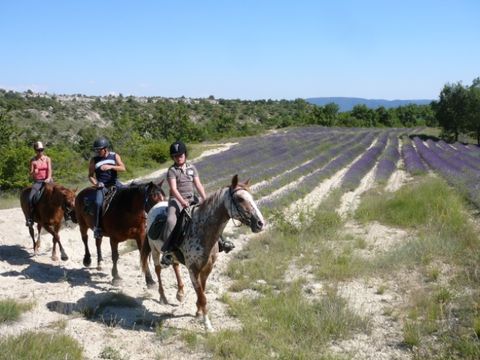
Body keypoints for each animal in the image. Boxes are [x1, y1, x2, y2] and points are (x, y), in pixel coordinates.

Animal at [141, 174, 264, 332]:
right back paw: (163, 297)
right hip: (155, 251)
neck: (202, 230)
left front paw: (198, 311)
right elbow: (203, 296)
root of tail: (154, 207)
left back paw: (180, 293)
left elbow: (202, 292)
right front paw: (207, 325)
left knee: (175, 265)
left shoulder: (207, 268)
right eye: (240, 199)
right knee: (157, 270)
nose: (260, 223)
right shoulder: (193, 270)